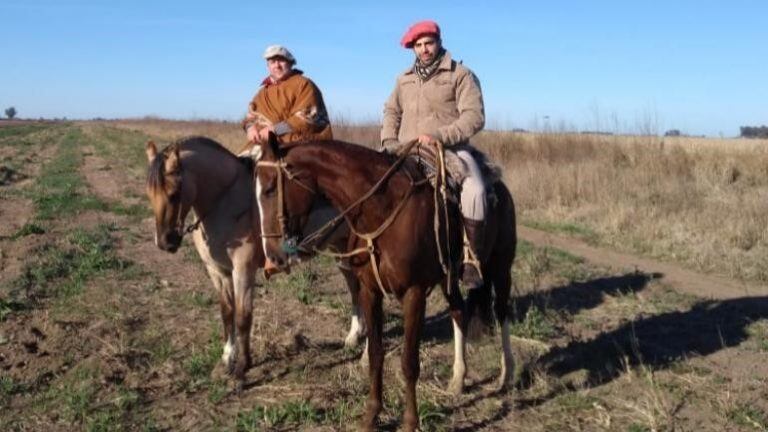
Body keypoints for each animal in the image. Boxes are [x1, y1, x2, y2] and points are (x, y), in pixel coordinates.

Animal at [145, 137, 368, 386]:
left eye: (174, 193)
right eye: (149, 193)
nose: (165, 242)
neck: (226, 203)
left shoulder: (243, 271)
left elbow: (243, 317)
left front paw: (242, 368)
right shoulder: (218, 272)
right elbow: (227, 312)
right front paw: (227, 357)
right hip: (340, 250)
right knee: (354, 288)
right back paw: (353, 336)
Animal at [256, 136, 516, 432]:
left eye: (269, 189)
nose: (272, 256)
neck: (382, 209)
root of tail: (499, 186)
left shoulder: (414, 294)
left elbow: (409, 363)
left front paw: (410, 421)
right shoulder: (370, 292)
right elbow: (375, 355)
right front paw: (371, 415)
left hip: (501, 267)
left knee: (502, 311)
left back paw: (507, 373)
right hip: (447, 277)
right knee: (459, 311)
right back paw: (458, 378)